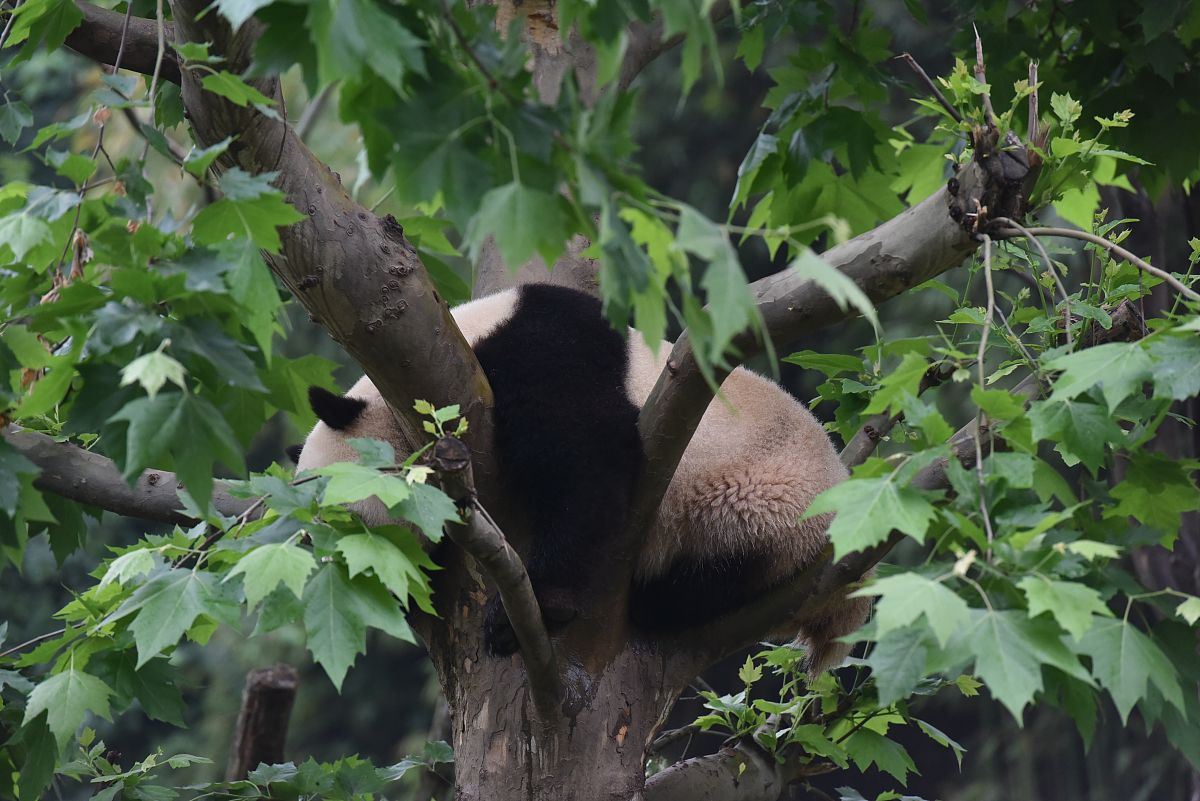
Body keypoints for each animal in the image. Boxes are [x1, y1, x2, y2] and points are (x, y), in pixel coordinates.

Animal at [294, 281, 868, 671]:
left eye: (346, 522)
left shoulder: (546, 347)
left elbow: (583, 456)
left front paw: (536, 608)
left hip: (763, 501)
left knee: (719, 568)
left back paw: (655, 600)